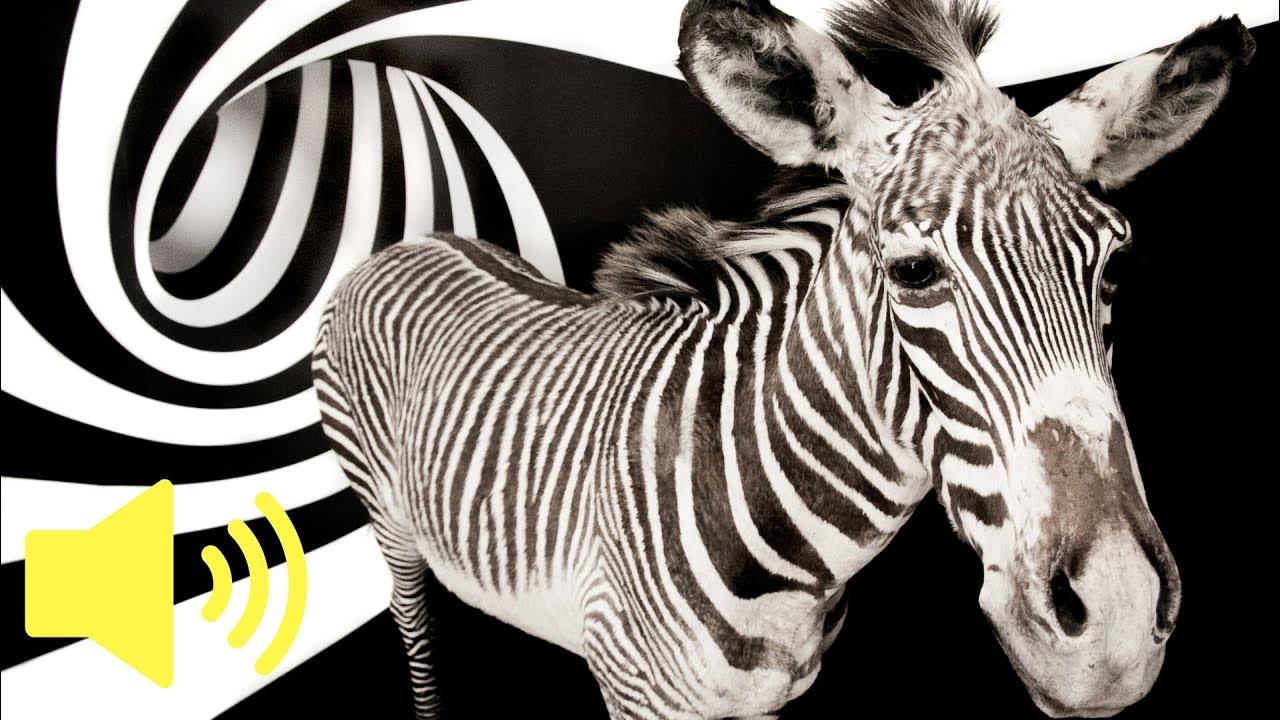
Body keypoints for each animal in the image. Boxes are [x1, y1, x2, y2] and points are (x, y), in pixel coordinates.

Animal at [311, 1, 1253, 717]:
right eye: (913, 272)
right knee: (414, 628)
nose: (1119, 621)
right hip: (384, 516)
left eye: (1115, 267)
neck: (796, 571)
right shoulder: (636, 695)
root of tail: (408, 242)